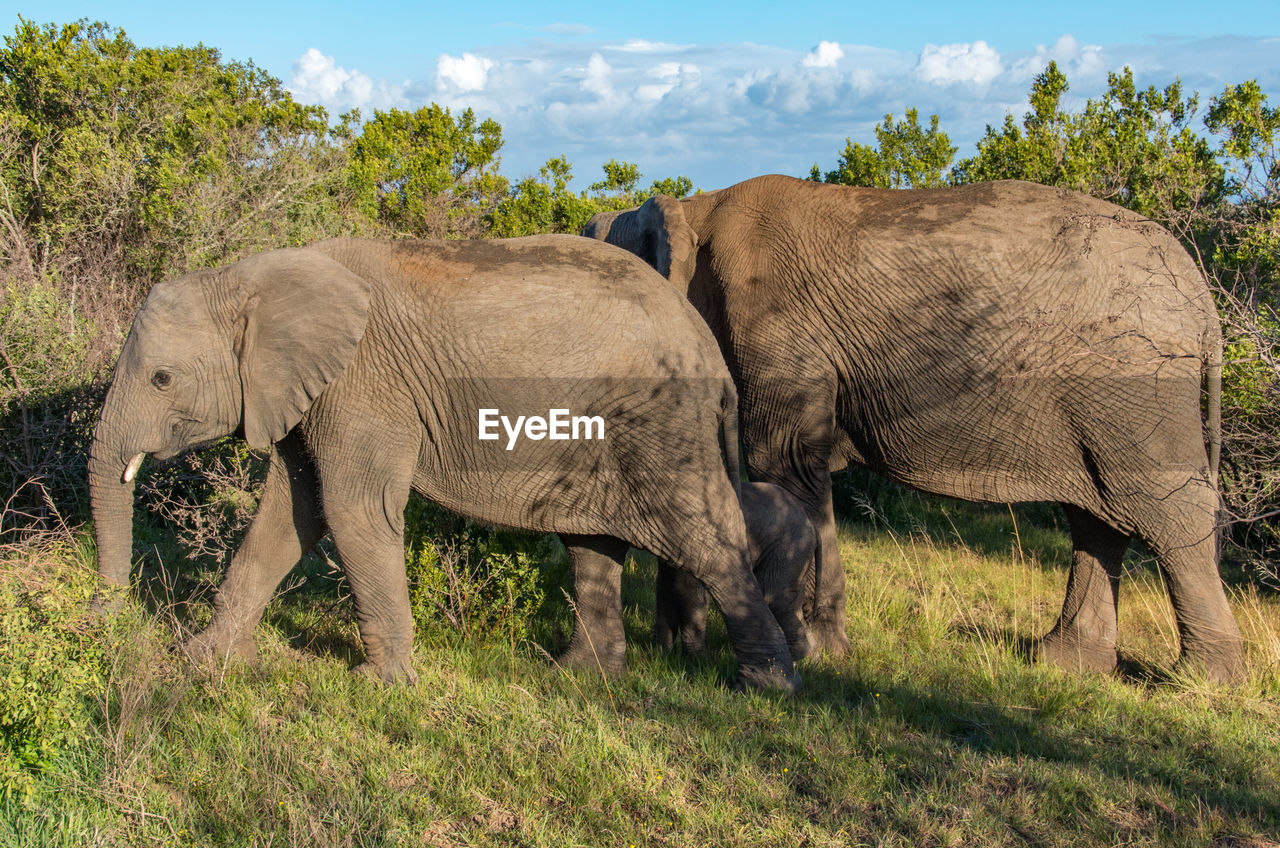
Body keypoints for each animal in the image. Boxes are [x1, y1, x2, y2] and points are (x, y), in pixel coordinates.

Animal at [87, 233, 788, 691]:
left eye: (161, 379)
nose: (105, 620)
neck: (250, 277)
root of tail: (706, 343)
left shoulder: (363, 385)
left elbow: (353, 511)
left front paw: (379, 686)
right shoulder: (304, 391)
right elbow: (293, 514)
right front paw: (204, 660)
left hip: (662, 421)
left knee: (705, 544)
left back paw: (767, 686)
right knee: (592, 545)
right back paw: (580, 677)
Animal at [655, 481, 814, 660]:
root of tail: (808, 520)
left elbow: (689, 589)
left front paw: (697, 660)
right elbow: (665, 589)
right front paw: (660, 654)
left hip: (788, 546)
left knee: (775, 596)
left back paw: (800, 658)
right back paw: (811, 657)